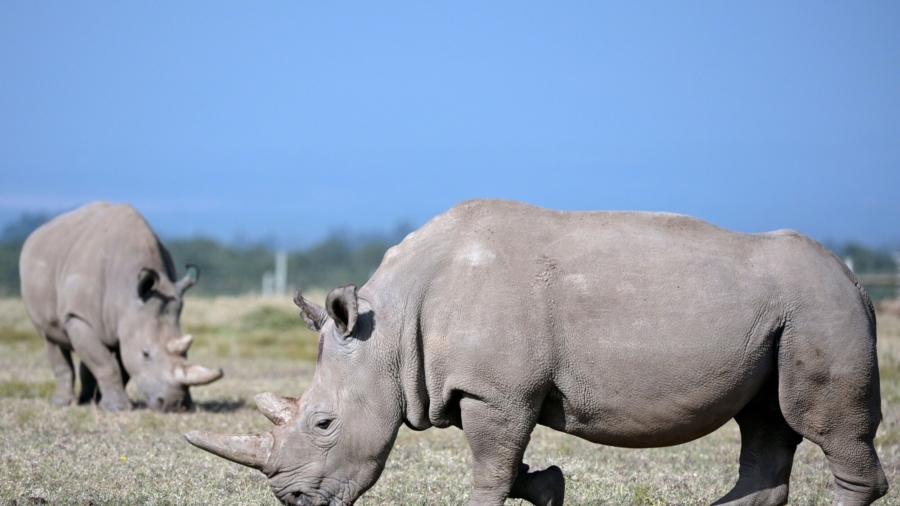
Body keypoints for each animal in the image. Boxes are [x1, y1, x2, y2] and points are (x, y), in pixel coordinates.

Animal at [20, 201, 223, 412]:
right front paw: (118, 408)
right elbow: (107, 364)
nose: (174, 405)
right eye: (146, 354)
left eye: (186, 353)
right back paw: (63, 403)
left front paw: (111, 405)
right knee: (50, 338)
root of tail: (36, 234)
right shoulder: (78, 316)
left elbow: (121, 364)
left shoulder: (130, 321)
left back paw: (89, 401)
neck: (128, 294)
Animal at [186, 199, 887, 505]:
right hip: (784, 317)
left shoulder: (496, 392)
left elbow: (490, 471)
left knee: (820, 427)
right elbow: (512, 466)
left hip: (820, 308)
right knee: (767, 424)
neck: (387, 329)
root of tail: (857, 281)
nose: (293, 501)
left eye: (324, 423)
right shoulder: (492, 389)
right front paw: (549, 486)